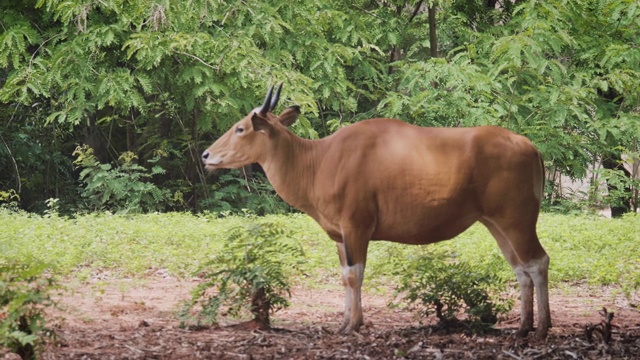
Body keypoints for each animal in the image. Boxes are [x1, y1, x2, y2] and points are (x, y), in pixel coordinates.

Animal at [204, 83, 552, 338]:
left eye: (240, 128)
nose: (207, 154)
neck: (319, 162)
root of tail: (530, 147)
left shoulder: (357, 227)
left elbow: (355, 275)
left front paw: (354, 325)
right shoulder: (339, 235)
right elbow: (345, 276)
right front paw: (344, 322)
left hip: (517, 219)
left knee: (537, 262)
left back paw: (543, 328)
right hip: (496, 223)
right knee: (520, 268)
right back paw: (523, 327)